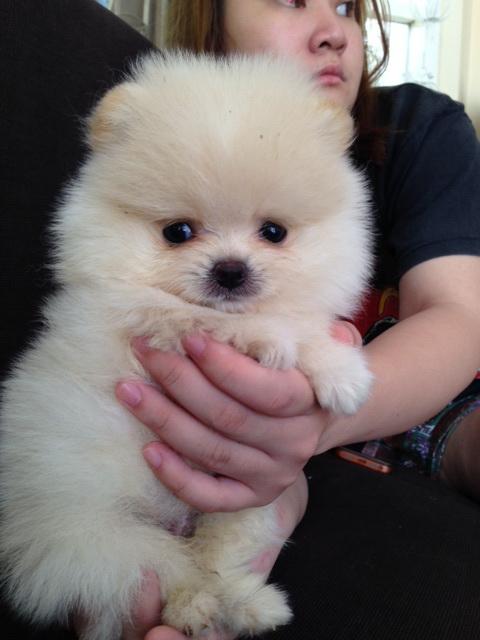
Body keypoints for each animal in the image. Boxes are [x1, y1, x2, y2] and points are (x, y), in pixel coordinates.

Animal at [0, 52, 372, 639]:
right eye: (177, 232)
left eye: (273, 232)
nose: (230, 270)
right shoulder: (142, 315)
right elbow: (221, 321)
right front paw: (283, 343)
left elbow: (297, 321)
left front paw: (340, 371)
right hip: (105, 533)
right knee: (170, 570)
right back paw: (201, 605)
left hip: (239, 510)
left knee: (216, 560)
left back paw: (251, 604)